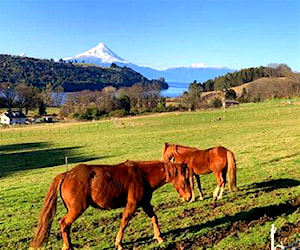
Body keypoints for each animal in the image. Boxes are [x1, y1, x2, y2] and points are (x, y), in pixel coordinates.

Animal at [31, 160, 192, 250]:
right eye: (185, 179)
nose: (189, 197)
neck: (142, 175)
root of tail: (66, 174)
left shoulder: (145, 203)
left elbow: (154, 218)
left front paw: (159, 238)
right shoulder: (132, 205)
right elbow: (124, 222)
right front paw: (119, 244)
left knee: (66, 226)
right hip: (76, 209)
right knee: (64, 223)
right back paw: (68, 246)